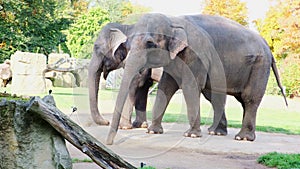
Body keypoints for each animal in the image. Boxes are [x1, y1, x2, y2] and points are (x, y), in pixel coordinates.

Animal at [106, 13, 288, 145]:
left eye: (150, 43)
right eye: (127, 45)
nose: (110, 143)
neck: (173, 20)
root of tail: (268, 47)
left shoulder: (196, 55)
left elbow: (190, 87)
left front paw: (191, 135)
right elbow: (165, 87)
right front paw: (153, 131)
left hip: (259, 66)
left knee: (250, 98)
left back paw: (242, 138)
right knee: (221, 98)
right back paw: (218, 132)